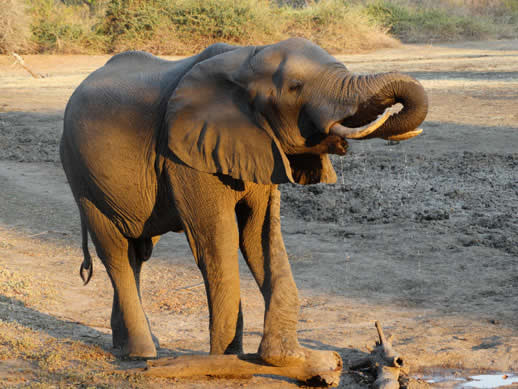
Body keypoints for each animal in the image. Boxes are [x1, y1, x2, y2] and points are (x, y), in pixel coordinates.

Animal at [61, 35, 428, 364]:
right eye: (295, 87)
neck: (247, 60)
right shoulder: (183, 157)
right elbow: (217, 242)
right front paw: (227, 358)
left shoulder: (260, 147)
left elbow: (261, 236)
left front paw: (283, 357)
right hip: (81, 176)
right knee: (116, 252)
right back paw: (142, 353)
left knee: (138, 252)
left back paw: (128, 346)